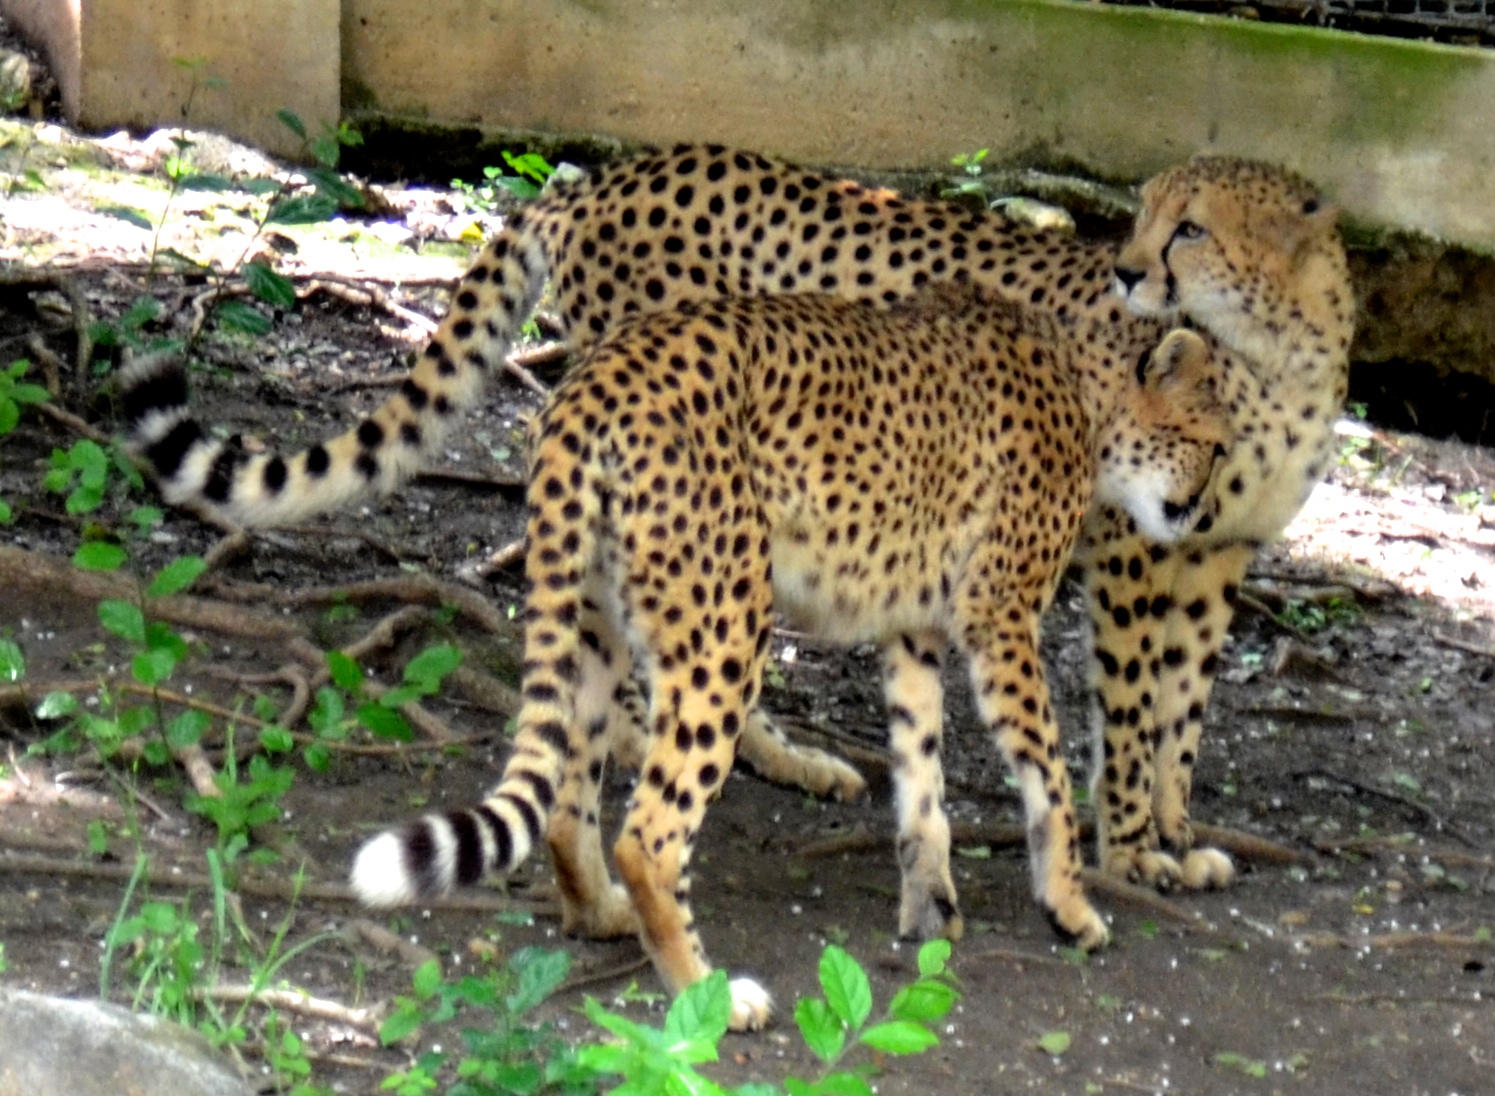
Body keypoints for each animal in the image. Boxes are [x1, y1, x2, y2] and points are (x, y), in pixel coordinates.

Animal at [122, 145, 1351, 897]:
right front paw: (1132, 850)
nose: (1130, 271)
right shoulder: (1136, 552)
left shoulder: (1211, 554)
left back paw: (772, 759)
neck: (1277, 355)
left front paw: (1175, 836)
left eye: (1188, 227)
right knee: (649, 672)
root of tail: (604, 174)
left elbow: (1183, 710)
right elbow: (1137, 710)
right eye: (1147, 219)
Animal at [346, 282, 1225, 1028]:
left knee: (568, 801)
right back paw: (705, 992)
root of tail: (597, 373)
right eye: (1211, 444)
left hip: (595, 620)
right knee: (649, 834)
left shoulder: (913, 630)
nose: (1203, 516)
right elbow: (1045, 771)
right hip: (726, 627)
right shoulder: (997, 618)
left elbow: (921, 773)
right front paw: (1070, 906)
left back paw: (600, 916)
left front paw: (929, 905)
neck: (1082, 381)